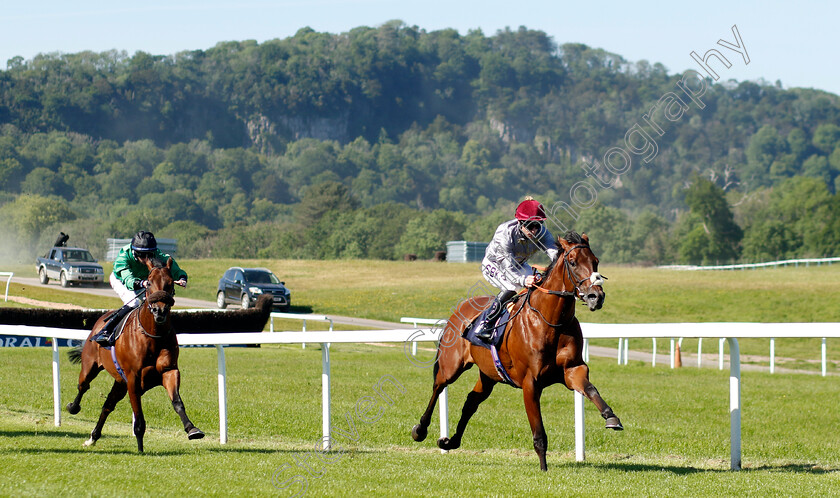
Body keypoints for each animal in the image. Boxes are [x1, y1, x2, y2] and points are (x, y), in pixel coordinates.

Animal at [66, 256, 203, 452]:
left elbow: (177, 402)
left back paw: (93, 437)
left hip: (119, 382)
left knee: (107, 405)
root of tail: (100, 321)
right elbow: (138, 415)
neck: (153, 335)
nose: (159, 310)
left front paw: (192, 429)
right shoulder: (133, 378)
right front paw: (140, 448)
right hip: (90, 366)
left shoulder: (169, 371)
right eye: (149, 282)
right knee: (83, 386)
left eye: (170, 283)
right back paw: (73, 407)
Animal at [410, 231, 620, 468]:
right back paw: (420, 430)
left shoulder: (572, 369)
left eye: (595, 261)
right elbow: (539, 434)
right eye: (573, 262)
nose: (596, 296)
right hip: (452, 365)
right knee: (438, 386)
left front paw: (611, 417)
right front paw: (543, 469)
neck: (551, 321)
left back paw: (450, 441)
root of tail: (459, 309)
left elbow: (591, 389)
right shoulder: (530, 382)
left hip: (488, 374)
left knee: (471, 401)